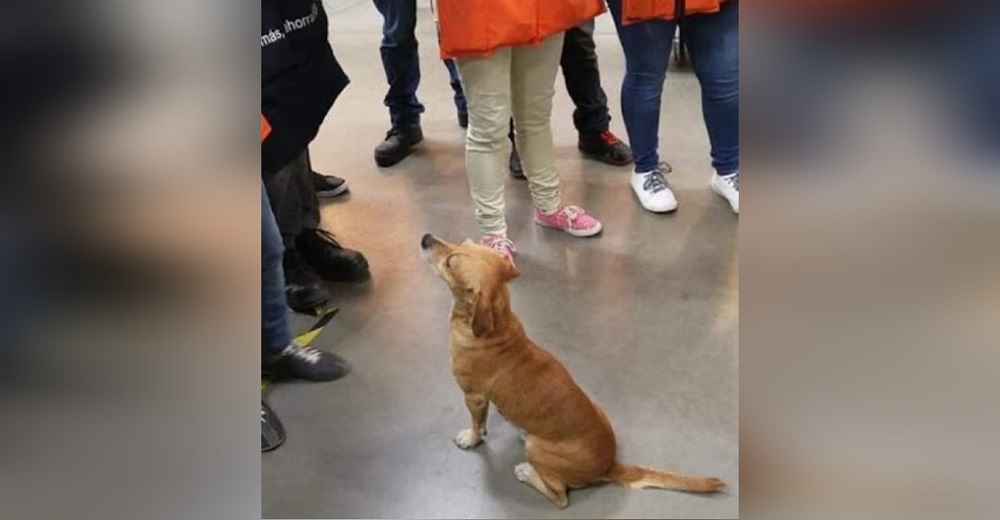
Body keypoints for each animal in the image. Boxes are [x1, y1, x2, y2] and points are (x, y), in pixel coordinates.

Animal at [418, 235, 724, 508]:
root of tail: (610, 465)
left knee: (560, 497)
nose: (425, 238)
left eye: (451, 262)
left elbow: (477, 424)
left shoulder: (474, 396)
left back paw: (527, 472)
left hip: (537, 449)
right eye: (463, 242)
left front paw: (471, 439)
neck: (496, 326)